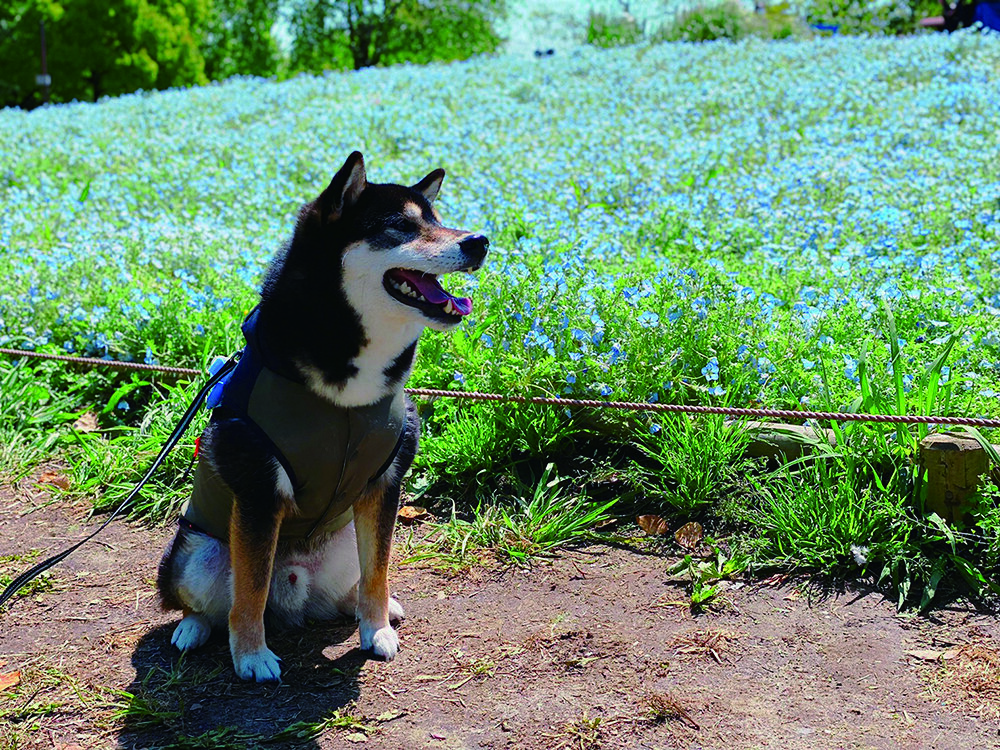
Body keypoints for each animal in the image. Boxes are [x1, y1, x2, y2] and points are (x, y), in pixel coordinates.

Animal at [154, 151, 490, 680]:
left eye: (437, 219)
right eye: (400, 226)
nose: (479, 241)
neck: (348, 396)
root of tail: (293, 594)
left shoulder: (384, 481)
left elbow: (379, 571)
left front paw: (376, 629)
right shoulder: (258, 489)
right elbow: (249, 589)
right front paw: (252, 656)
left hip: (345, 540)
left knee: (357, 577)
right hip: (192, 553)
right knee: (213, 602)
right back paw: (194, 628)